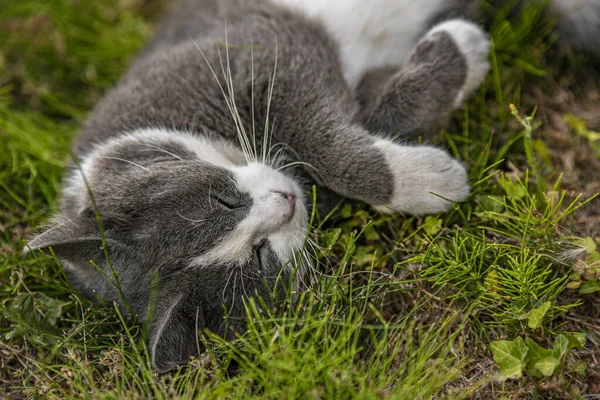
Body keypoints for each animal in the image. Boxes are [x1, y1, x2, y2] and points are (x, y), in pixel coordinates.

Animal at [27, 0, 600, 372]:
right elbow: (367, 116)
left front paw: (461, 49)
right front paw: (432, 173)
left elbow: (325, 136)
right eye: (260, 256)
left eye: (223, 199)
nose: (284, 202)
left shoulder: (259, 51)